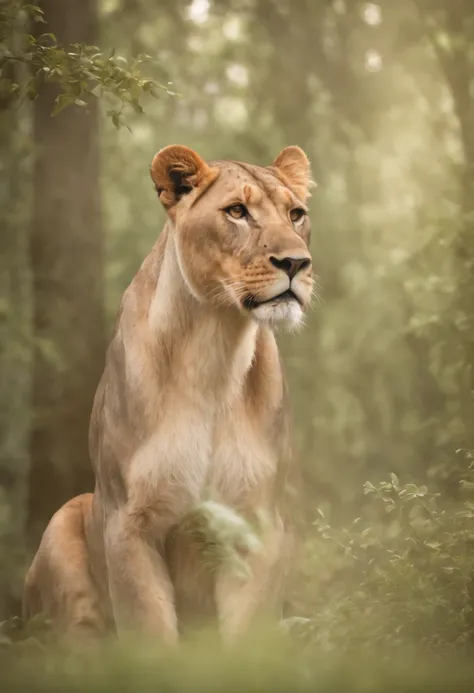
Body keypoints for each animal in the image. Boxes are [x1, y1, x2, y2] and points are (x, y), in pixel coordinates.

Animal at [22, 145, 312, 644]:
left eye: (296, 215)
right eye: (237, 212)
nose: (296, 263)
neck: (216, 347)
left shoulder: (256, 524)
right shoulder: (128, 521)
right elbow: (149, 634)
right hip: (63, 523)